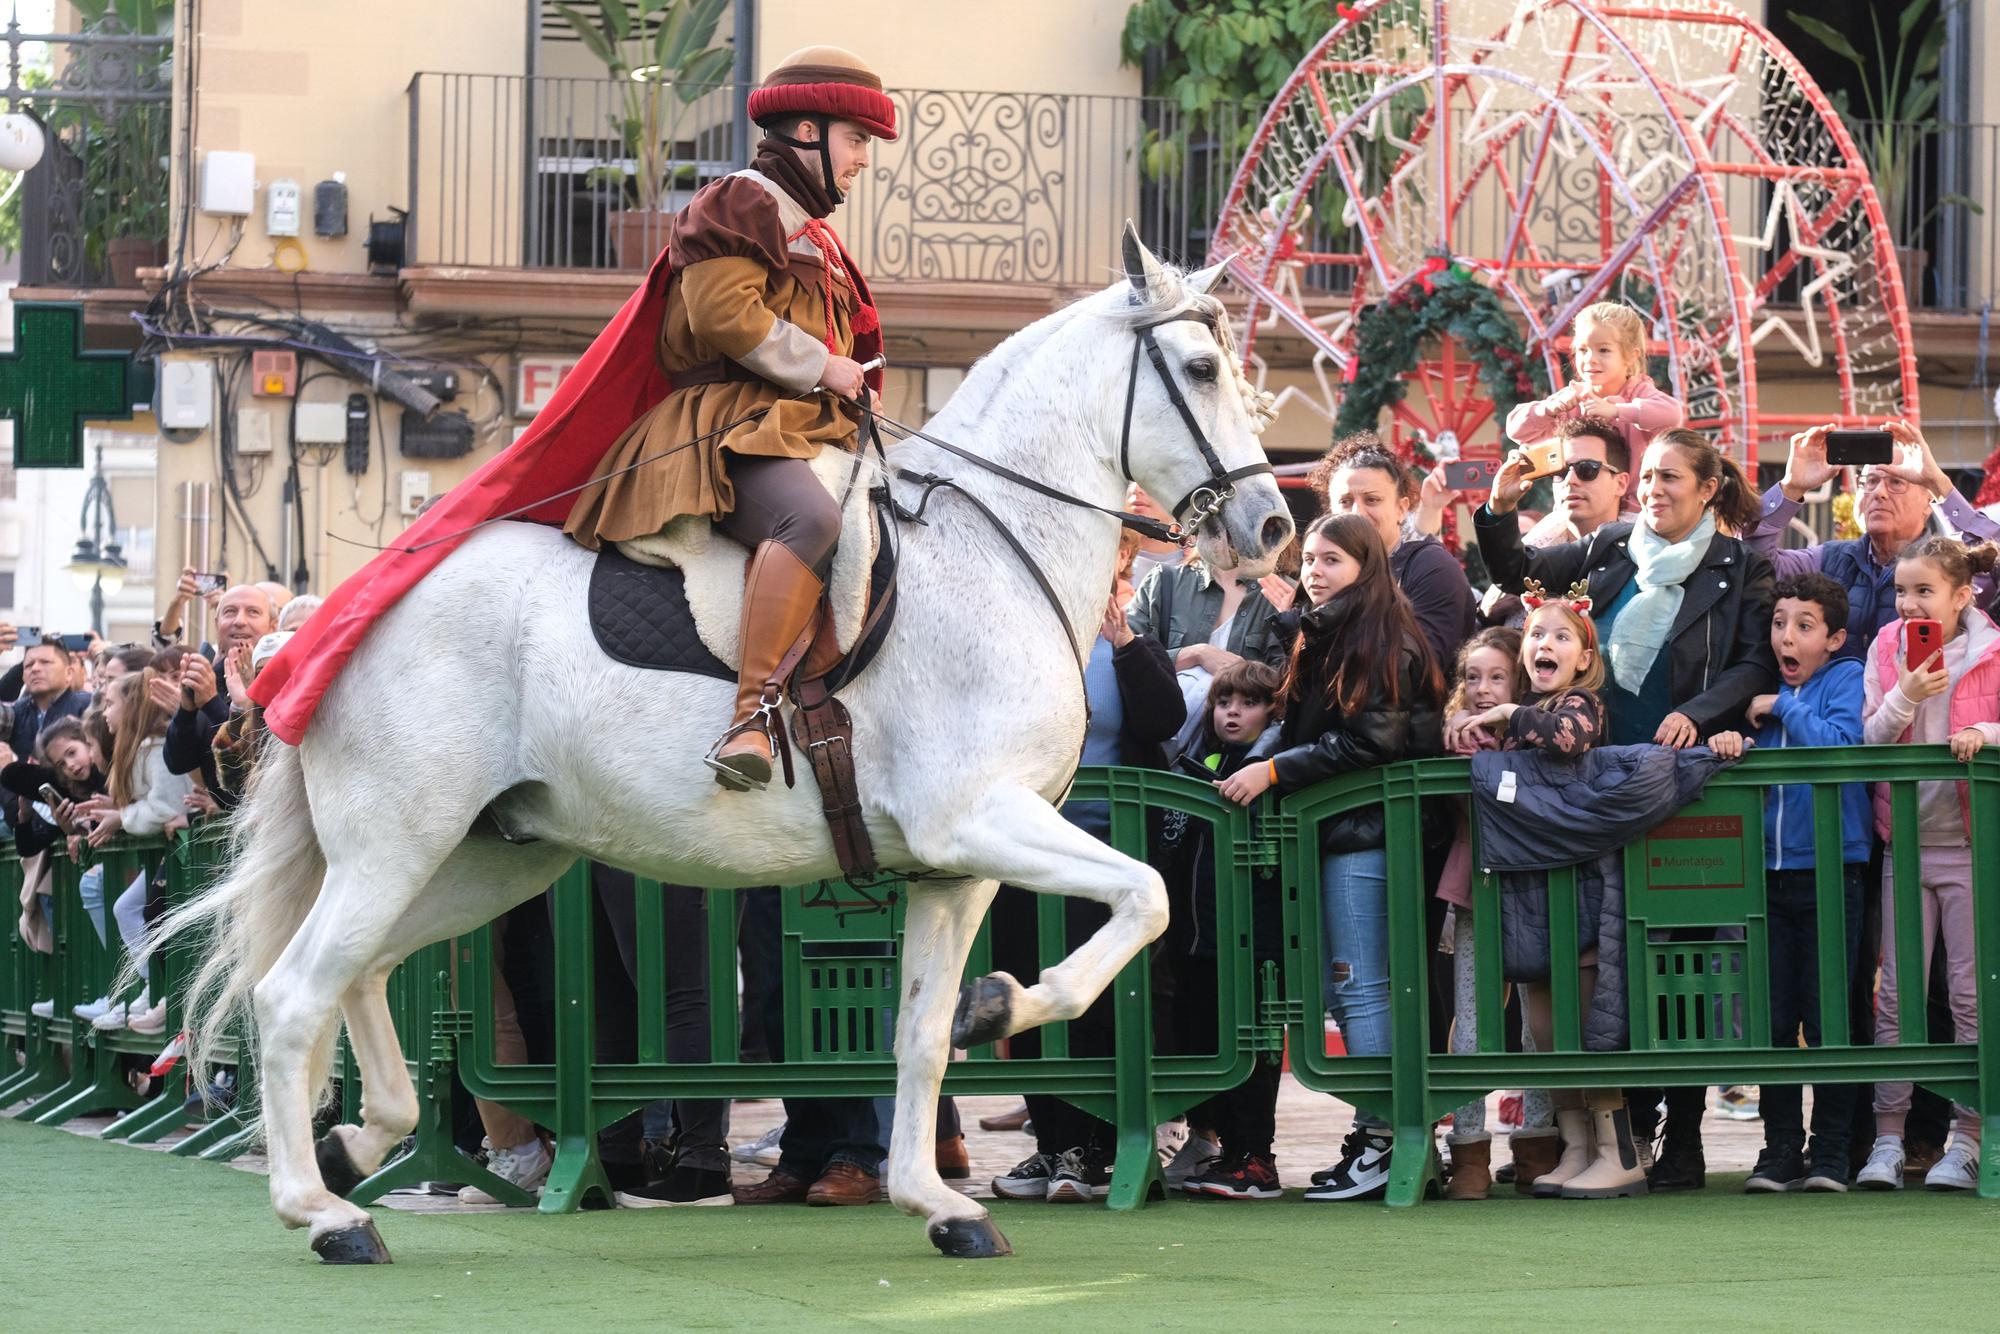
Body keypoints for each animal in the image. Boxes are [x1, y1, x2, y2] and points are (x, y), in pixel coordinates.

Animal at [164, 230, 1296, 1264]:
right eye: (1200, 370)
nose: (1274, 525)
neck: (988, 548)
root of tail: (322, 625)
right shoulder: (979, 820)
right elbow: (1146, 894)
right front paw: (1009, 1003)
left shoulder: (956, 866)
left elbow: (923, 1033)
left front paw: (938, 1194)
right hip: (400, 842)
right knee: (296, 994)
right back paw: (325, 1213)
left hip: (488, 857)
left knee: (362, 973)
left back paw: (358, 1145)